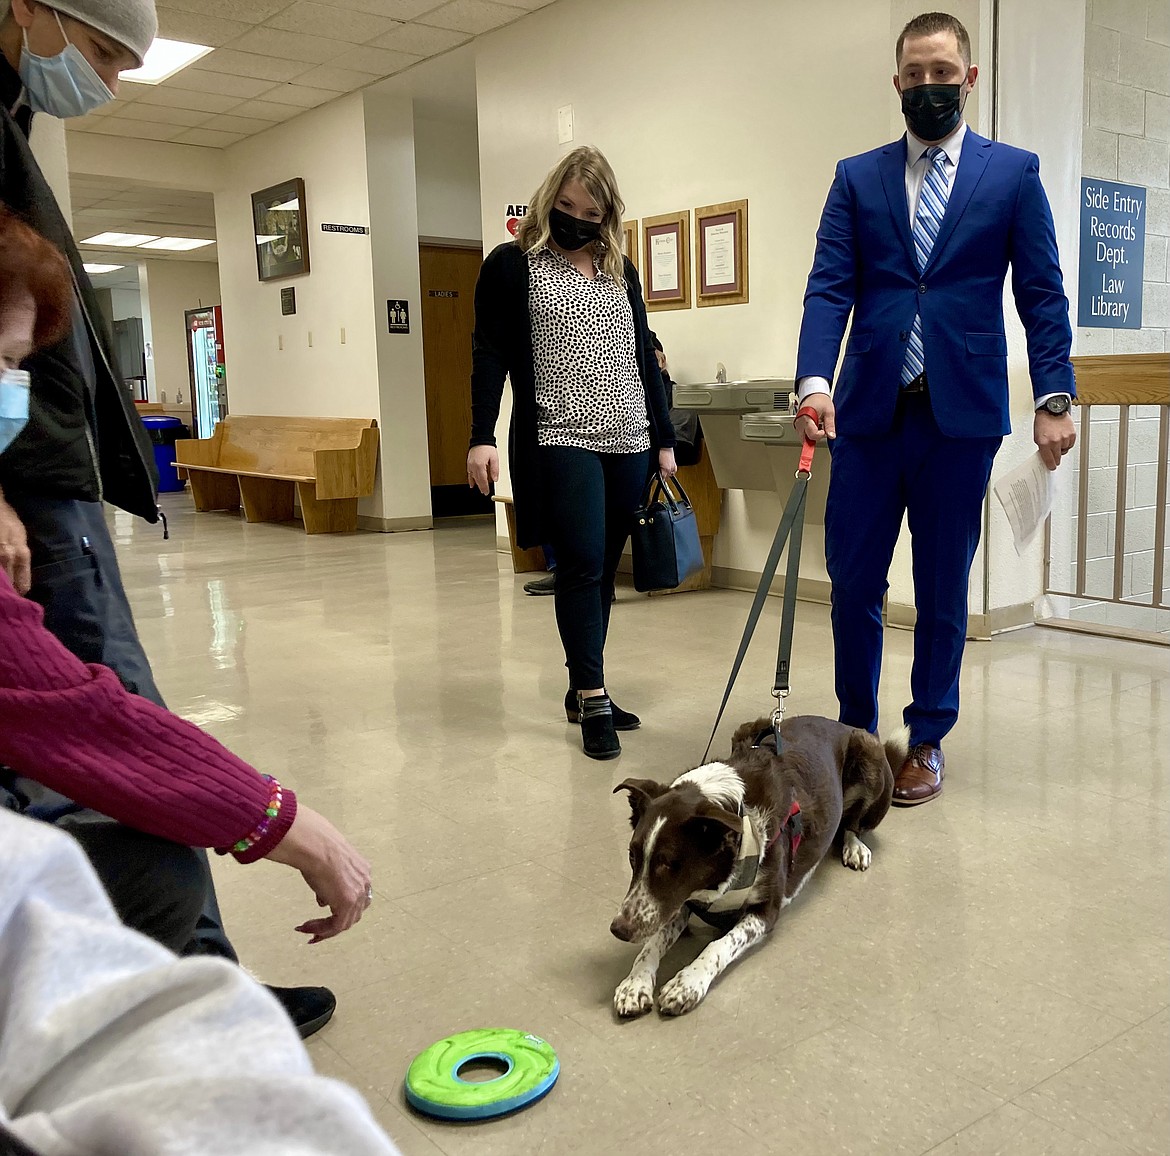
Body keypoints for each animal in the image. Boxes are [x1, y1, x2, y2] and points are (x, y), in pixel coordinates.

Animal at [613, 716, 903, 1015]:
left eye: (670, 863)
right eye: (632, 856)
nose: (618, 929)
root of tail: (844, 725)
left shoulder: (765, 911)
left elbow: (718, 945)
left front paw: (688, 982)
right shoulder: (678, 901)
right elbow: (652, 941)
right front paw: (634, 983)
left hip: (871, 760)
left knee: (854, 823)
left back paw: (854, 845)